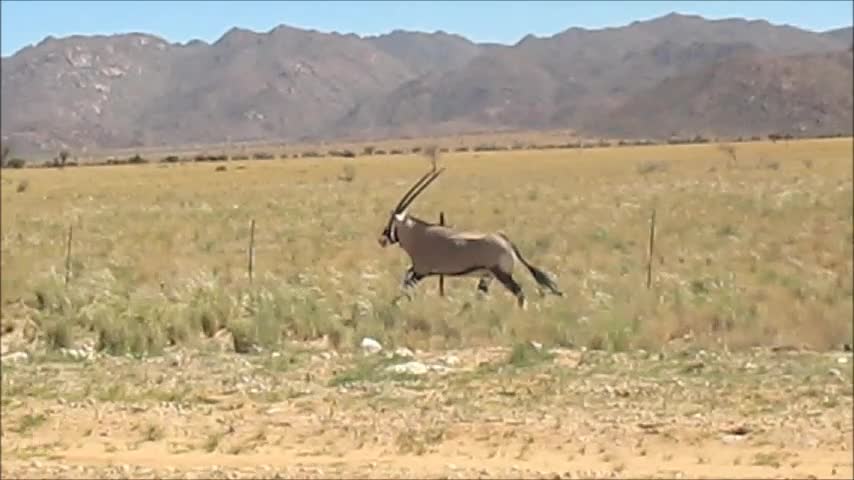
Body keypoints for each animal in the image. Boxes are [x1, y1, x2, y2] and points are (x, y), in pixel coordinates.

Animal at [378, 169, 564, 308]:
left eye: (391, 222)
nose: (382, 239)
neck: (418, 234)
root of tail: (505, 241)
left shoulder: (421, 270)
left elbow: (405, 286)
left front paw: (396, 303)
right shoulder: (416, 269)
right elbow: (405, 279)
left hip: (502, 274)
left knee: (519, 291)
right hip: (487, 277)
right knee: (483, 294)